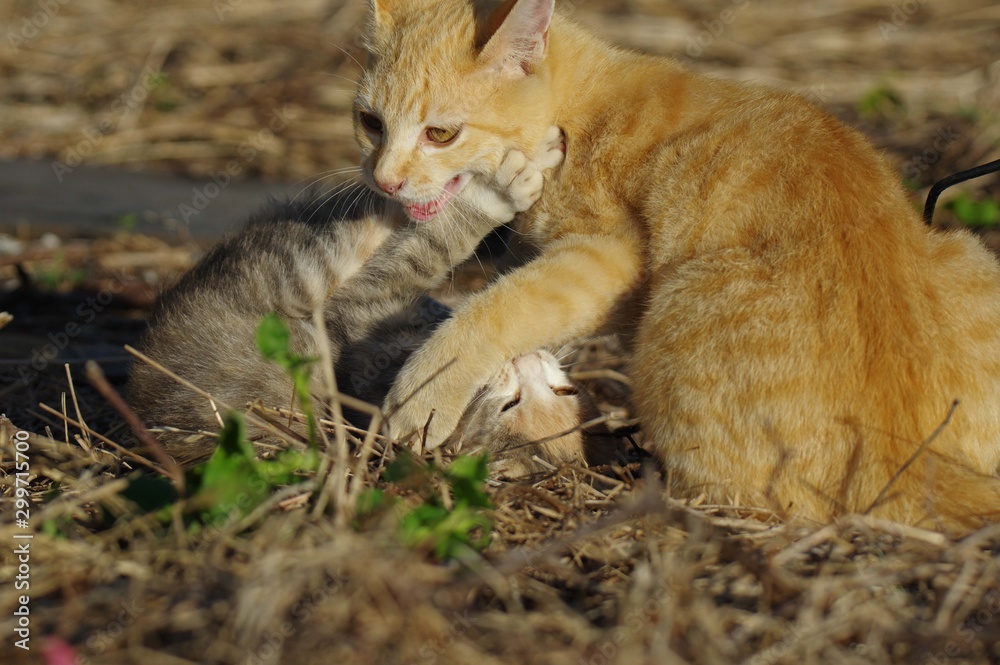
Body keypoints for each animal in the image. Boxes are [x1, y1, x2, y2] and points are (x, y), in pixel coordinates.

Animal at [356, 0, 1000, 528]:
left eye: (441, 133)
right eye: (370, 123)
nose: (384, 181)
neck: (581, 109)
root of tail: (912, 460)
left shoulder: (606, 258)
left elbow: (501, 307)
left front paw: (422, 392)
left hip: (673, 318)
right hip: (970, 251)